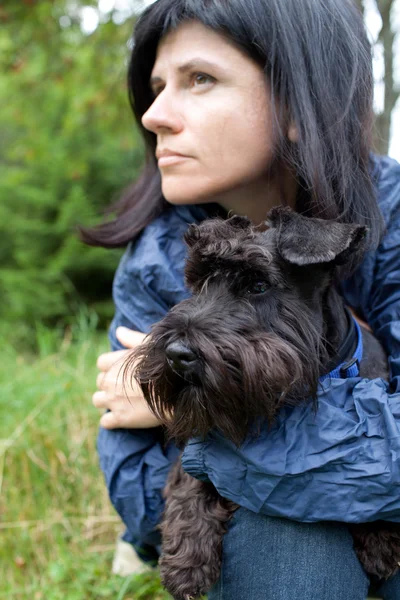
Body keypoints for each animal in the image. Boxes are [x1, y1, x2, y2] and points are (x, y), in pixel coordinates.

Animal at [127, 207, 396, 600]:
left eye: (258, 285)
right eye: (200, 284)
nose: (177, 354)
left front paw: (381, 537)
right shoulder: (199, 439)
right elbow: (189, 481)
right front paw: (187, 562)